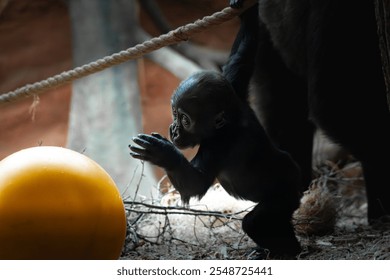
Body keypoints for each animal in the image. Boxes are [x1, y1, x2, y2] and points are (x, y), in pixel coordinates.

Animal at [129, 70, 300, 258]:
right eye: (174, 113)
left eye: (185, 120)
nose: (174, 130)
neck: (228, 122)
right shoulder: (236, 95)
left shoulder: (218, 144)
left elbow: (196, 184)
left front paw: (162, 153)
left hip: (285, 193)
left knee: (256, 222)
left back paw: (288, 251)